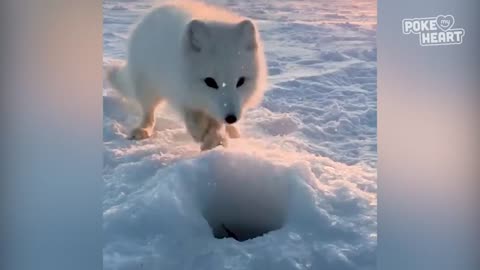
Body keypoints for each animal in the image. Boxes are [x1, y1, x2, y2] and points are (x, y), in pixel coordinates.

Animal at [106, 1, 268, 151]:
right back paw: (143, 129)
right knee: (148, 112)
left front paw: (215, 139)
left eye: (240, 81)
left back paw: (231, 131)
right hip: (147, 86)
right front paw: (201, 134)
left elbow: (216, 123)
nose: (231, 118)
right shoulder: (180, 91)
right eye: (210, 82)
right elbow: (192, 117)